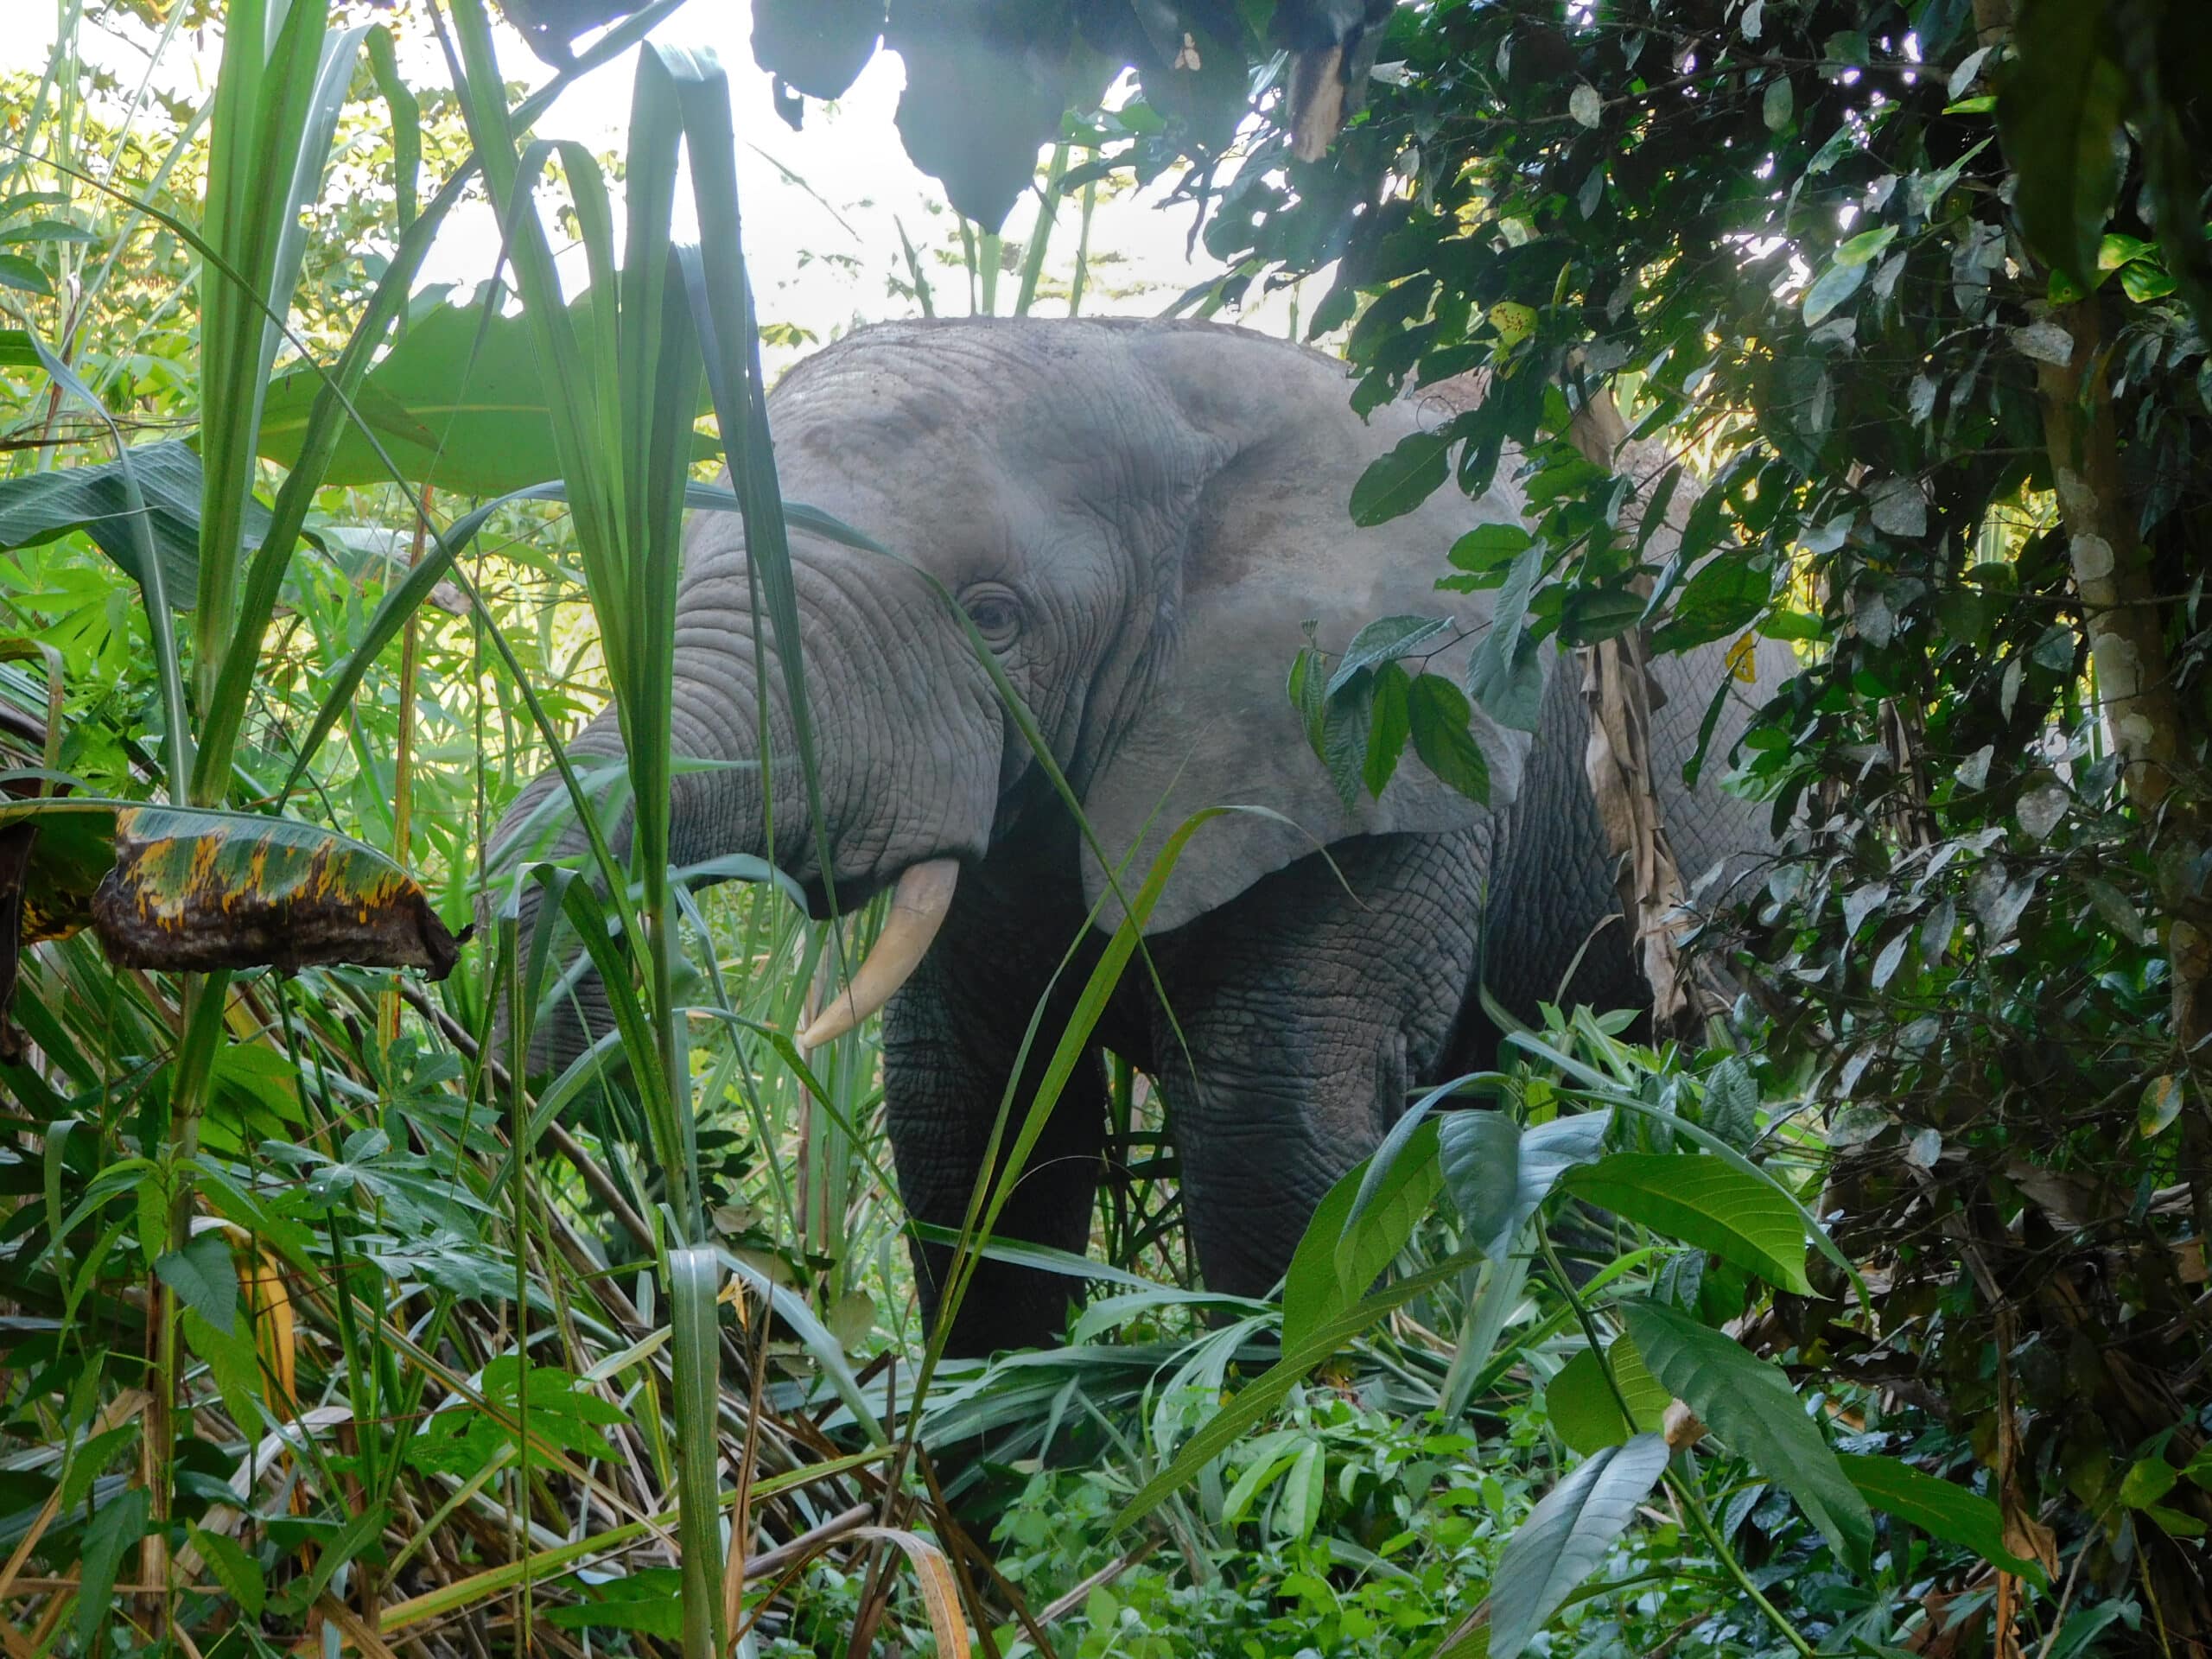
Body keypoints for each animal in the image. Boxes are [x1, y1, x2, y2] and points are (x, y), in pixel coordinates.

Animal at [493, 318, 1787, 1353]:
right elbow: (972, 1121)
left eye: (994, 619)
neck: (1160, 370)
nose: (611, 1116)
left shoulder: (1383, 737)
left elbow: (1263, 1120)